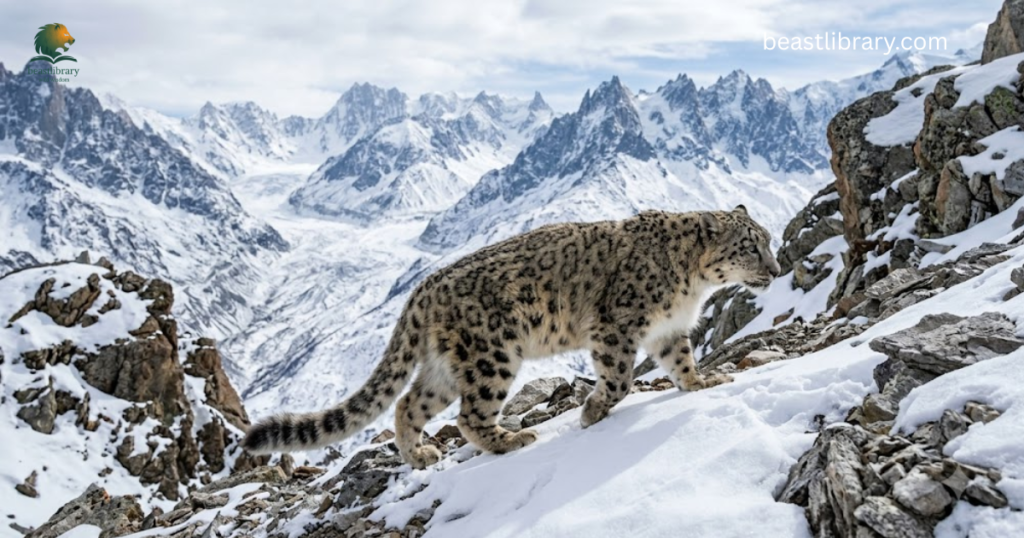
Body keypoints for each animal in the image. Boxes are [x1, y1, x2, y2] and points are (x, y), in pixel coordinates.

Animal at [243, 206, 781, 468]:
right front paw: (590, 413)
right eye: (749, 245)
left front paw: (704, 383)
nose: (776, 270)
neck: (692, 283)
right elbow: (619, 378)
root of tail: (422, 289)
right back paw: (513, 439)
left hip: (445, 367)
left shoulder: (668, 332)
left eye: (770, 241)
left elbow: (682, 362)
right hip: (492, 355)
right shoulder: (616, 326)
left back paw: (419, 455)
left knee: (409, 404)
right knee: (468, 414)